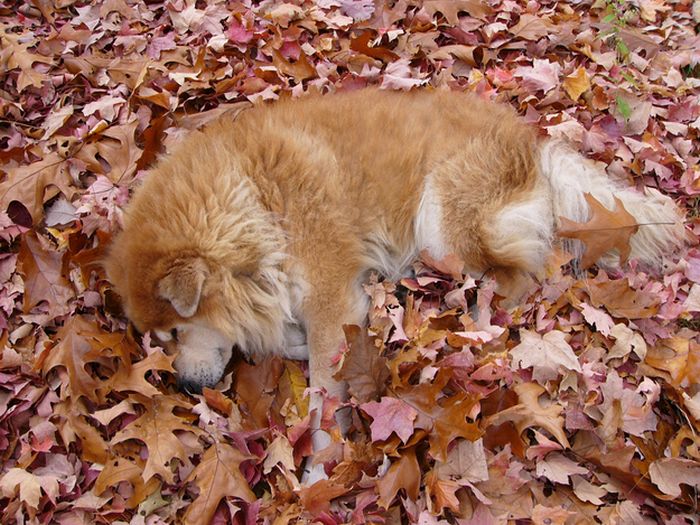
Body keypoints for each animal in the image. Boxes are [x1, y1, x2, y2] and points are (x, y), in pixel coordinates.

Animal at [104, 91, 684, 478]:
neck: (253, 199)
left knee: (519, 277)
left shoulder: (329, 297)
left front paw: (320, 466)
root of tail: (533, 142)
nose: (184, 386)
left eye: (176, 331)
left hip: (441, 224)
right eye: (161, 339)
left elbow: (321, 397)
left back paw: (473, 326)